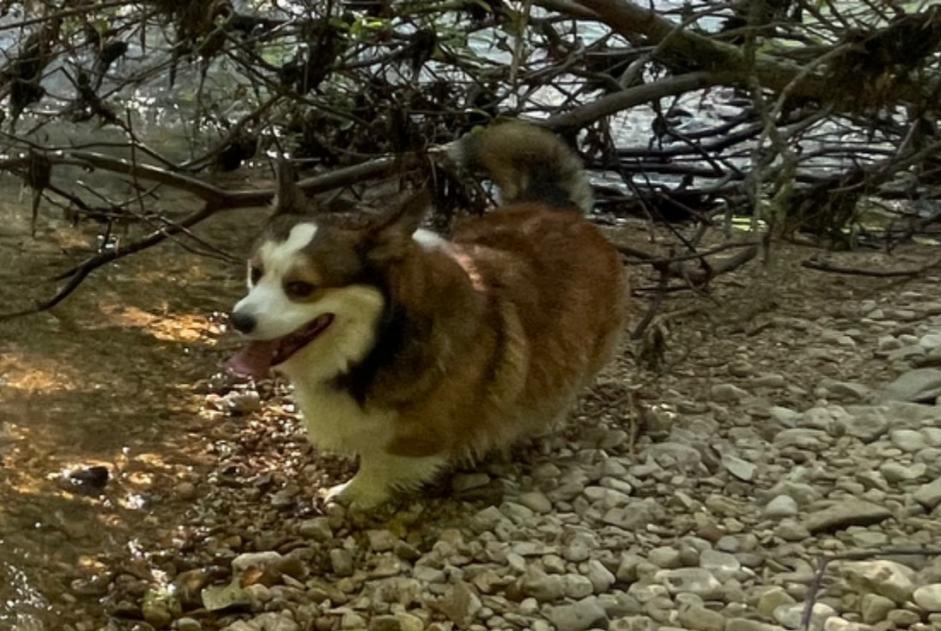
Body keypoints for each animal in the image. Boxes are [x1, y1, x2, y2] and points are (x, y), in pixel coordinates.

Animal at [224, 122, 628, 508]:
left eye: (301, 288)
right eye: (256, 272)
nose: (238, 321)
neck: (378, 342)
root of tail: (555, 206)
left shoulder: (415, 431)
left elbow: (381, 456)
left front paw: (358, 492)